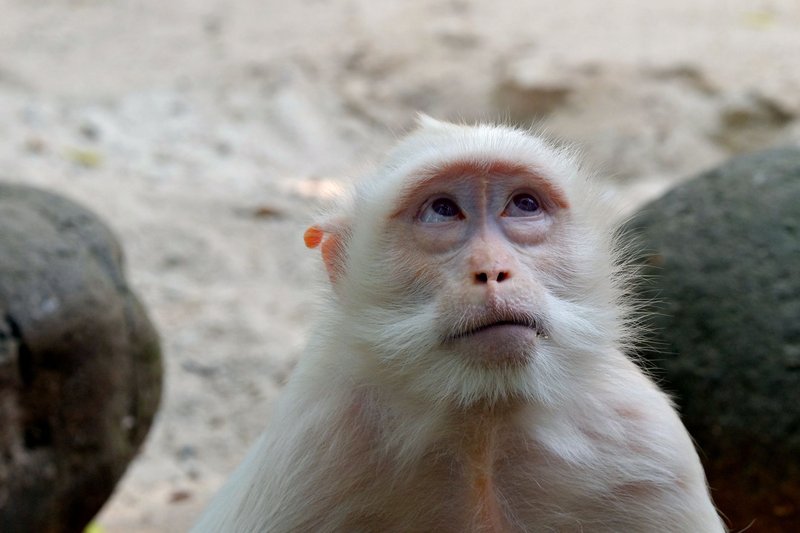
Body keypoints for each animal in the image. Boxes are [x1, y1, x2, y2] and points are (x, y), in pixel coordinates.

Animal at [193, 116, 725, 532]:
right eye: (443, 210)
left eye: (524, 205)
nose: (492, 271)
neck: (482, 432)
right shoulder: (312, 450)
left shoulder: (648, 450)